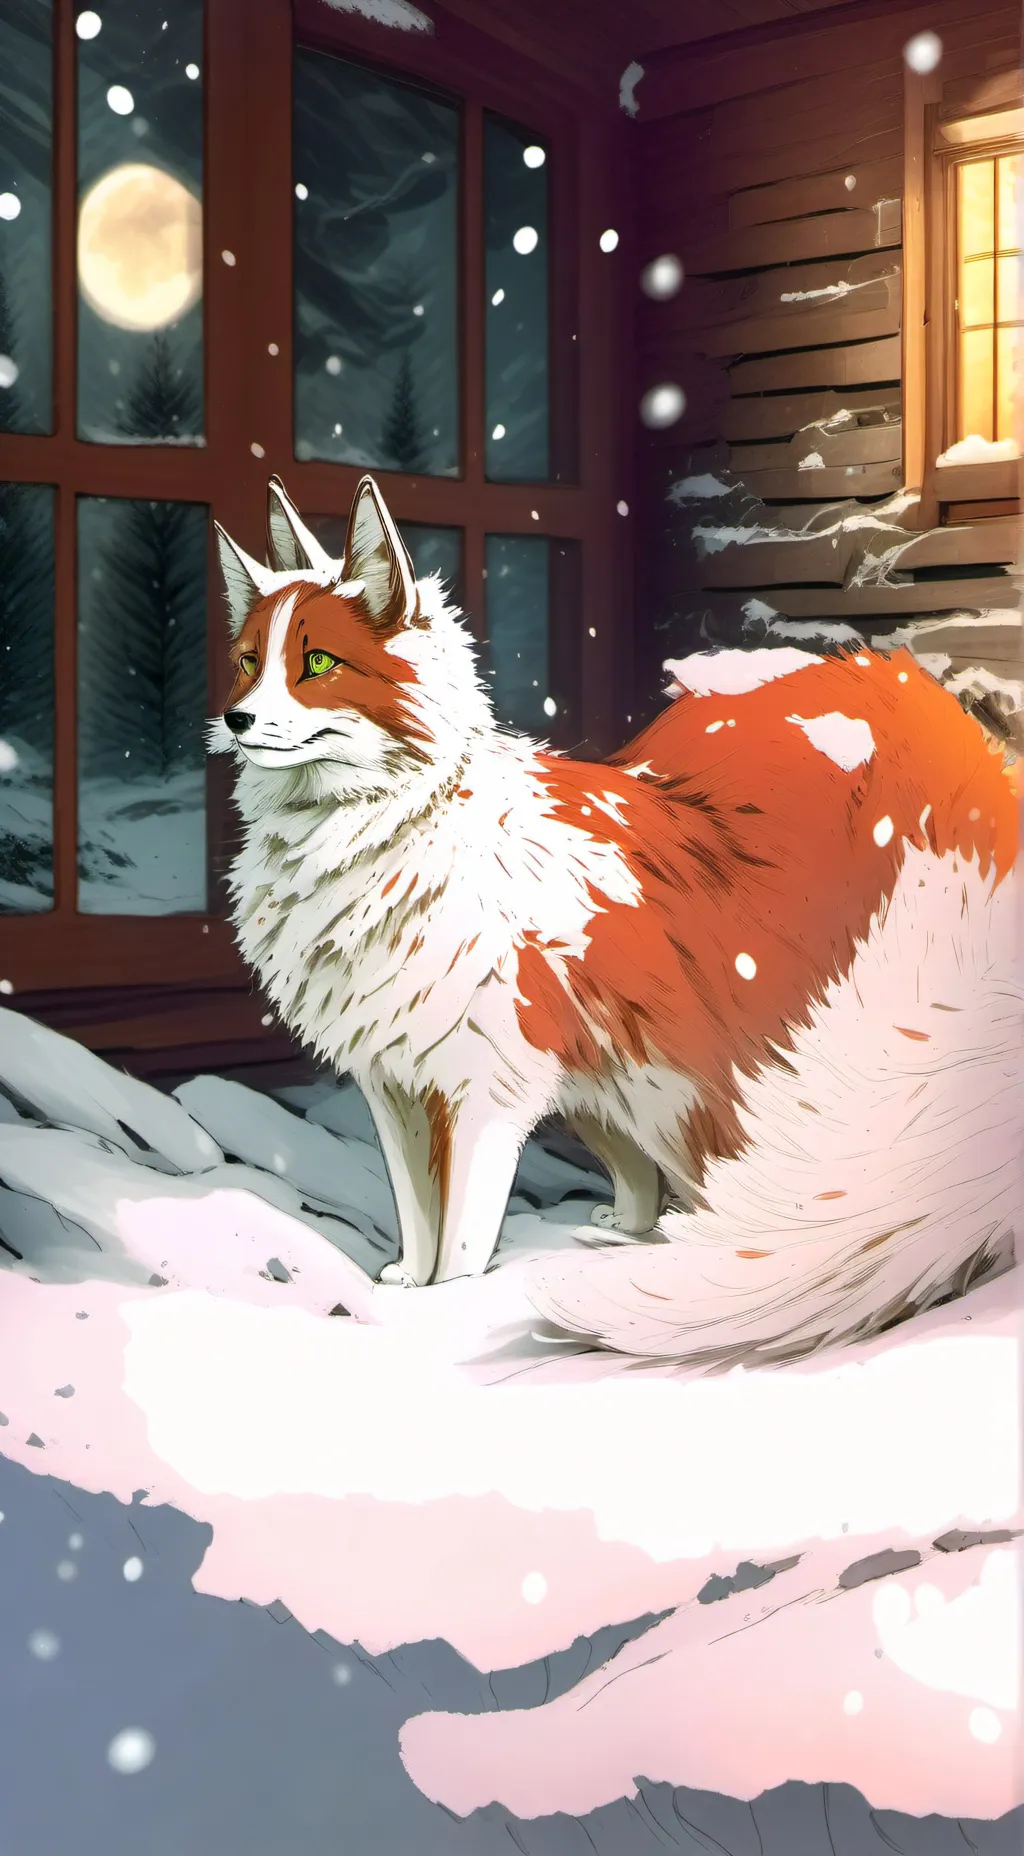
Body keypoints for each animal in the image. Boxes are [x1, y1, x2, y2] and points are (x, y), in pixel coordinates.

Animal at [214, 473, 1020, 1365]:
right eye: (248, 663)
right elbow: (420, 1228)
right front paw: (404, 1293)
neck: (382, 844)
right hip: (614, 1083)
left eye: (318, 664)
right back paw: (623, 1236)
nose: (235, 721)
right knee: (650, 1182)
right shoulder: (396, 1083)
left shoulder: (483, 1089)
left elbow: (462, 1241)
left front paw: (448, 1312)